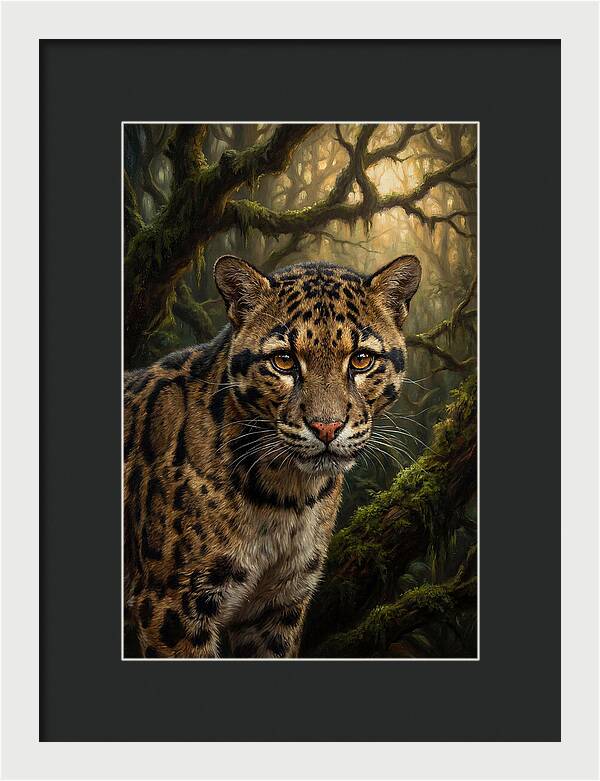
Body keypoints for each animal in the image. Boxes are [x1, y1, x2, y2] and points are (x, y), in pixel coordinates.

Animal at [124, 253, 421, 658]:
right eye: (283, 360)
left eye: (361, 360)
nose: (326, 427)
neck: (286, 495)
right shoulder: (171, 604)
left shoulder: (279, 604)